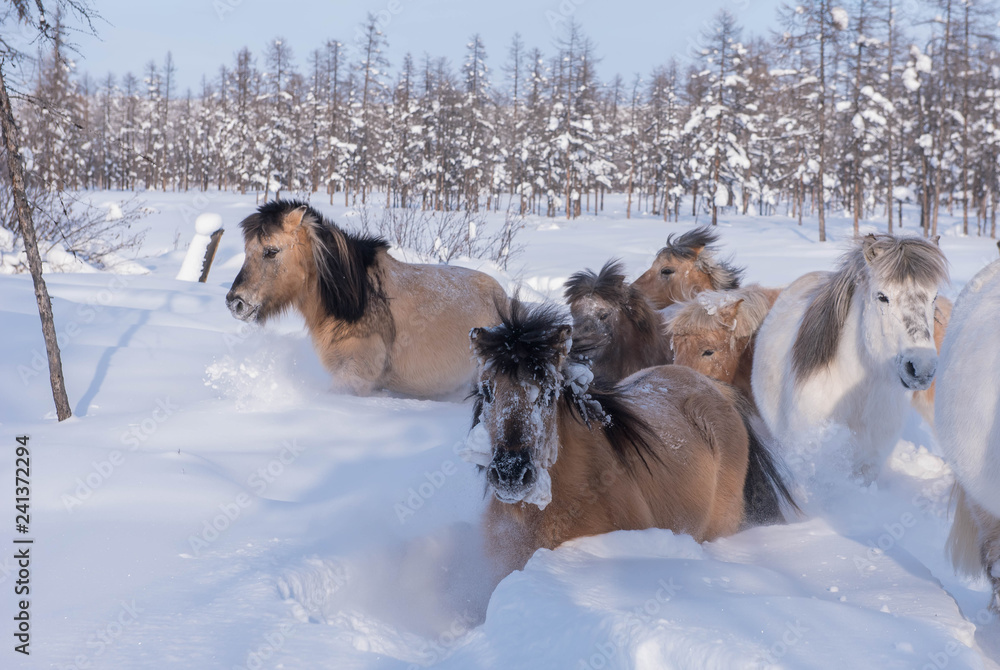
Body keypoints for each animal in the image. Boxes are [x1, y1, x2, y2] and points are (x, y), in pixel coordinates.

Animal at [225, 200, 508, 398]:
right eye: (247, 250)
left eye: (271, 251)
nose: (235, 302)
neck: (357, 301)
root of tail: (502, 298)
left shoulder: (354, 377)